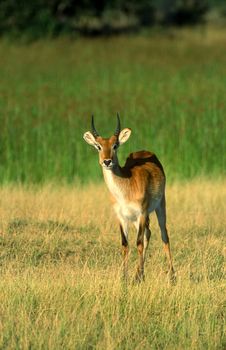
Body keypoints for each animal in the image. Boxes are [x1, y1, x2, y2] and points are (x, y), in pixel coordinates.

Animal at [84, 115, 174, 282]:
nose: (107, 161)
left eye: (115, 145)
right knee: (148, 233)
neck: (125, 188)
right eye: (98, 146)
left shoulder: (142, 213)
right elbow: (125, 244)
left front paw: (138, 278)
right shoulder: (121, 217)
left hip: (160, 207)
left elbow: (138, 243)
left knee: (164, 235)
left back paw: (172, 276)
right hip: (136, 219)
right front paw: (125, 278)